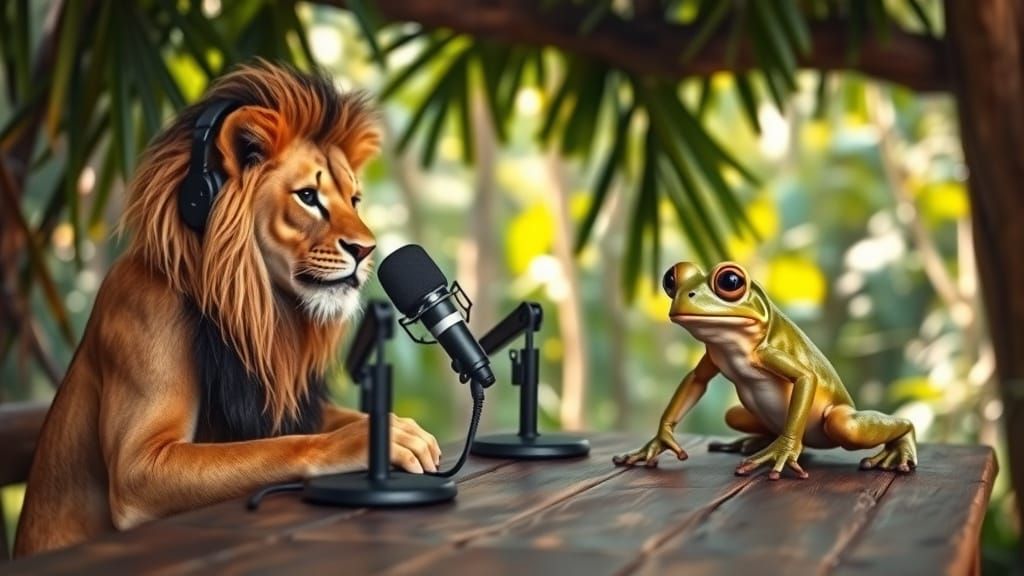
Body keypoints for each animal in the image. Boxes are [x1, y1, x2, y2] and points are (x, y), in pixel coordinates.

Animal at [14, 62, 441, 557]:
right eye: (308, 197)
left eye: (353, 200)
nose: (366, 250)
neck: (259, 310)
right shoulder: (141, 457)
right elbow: (283, 445)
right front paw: (368, 439)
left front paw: (403, 428)